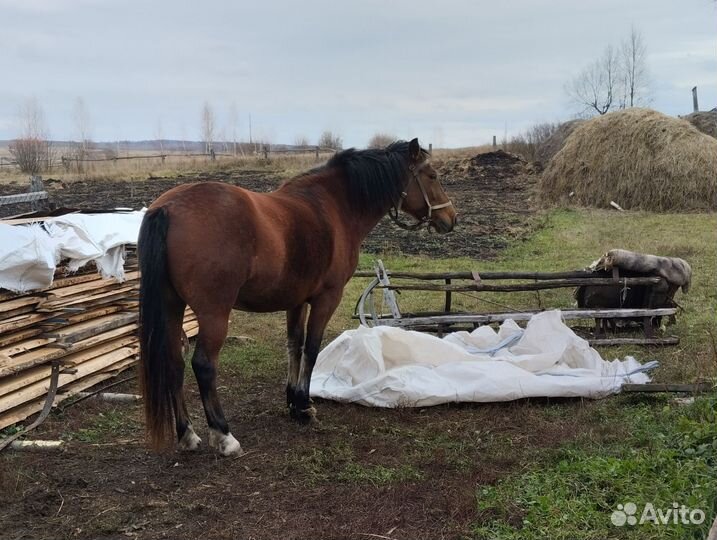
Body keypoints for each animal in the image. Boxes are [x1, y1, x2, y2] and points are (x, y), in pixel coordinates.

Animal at [137, 139, 457, 456]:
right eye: (432, 176)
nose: (451, 219)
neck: (334, 206)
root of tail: (168, 208)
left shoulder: (296, 300)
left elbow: (294, 345)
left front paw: (292, 401)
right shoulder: (327, 298)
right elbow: (312, 349)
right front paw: (304, 405)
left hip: (173, 307)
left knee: (174, 363)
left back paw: (187, 434)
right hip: (214, 313)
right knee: (203, 365)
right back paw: (224, 436)